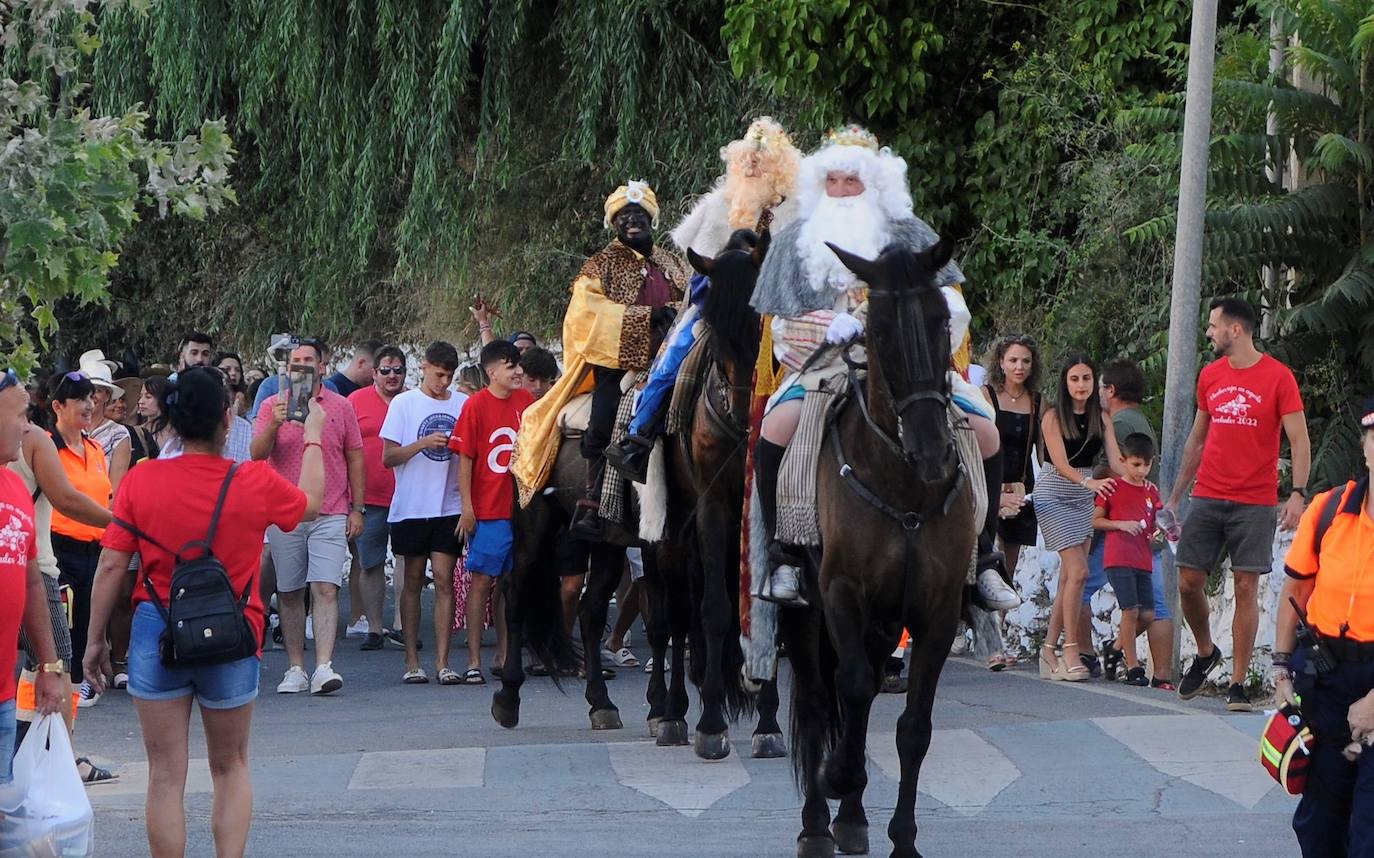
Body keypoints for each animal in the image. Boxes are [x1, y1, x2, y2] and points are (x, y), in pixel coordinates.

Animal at [648, 228, 791, 759]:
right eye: (716, 333)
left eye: (764, 326)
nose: (749, 416)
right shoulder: (711, 510)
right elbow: (711, 613)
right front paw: (710, 724)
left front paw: (769, 724)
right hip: (668, 535)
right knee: (673, 620)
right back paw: (669, 714)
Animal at [780, 236, 972, 858]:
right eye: (879, 330)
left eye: (941, 321)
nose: (933, 451)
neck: (904, 484)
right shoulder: (841, 593)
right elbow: (855, 687)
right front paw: (836, 777)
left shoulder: (936, 611)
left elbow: (914, 728)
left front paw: (903, 838)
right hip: (806, 610)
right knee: (820, 700)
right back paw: (819, 823)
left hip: (887, 619)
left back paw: (852, 819)